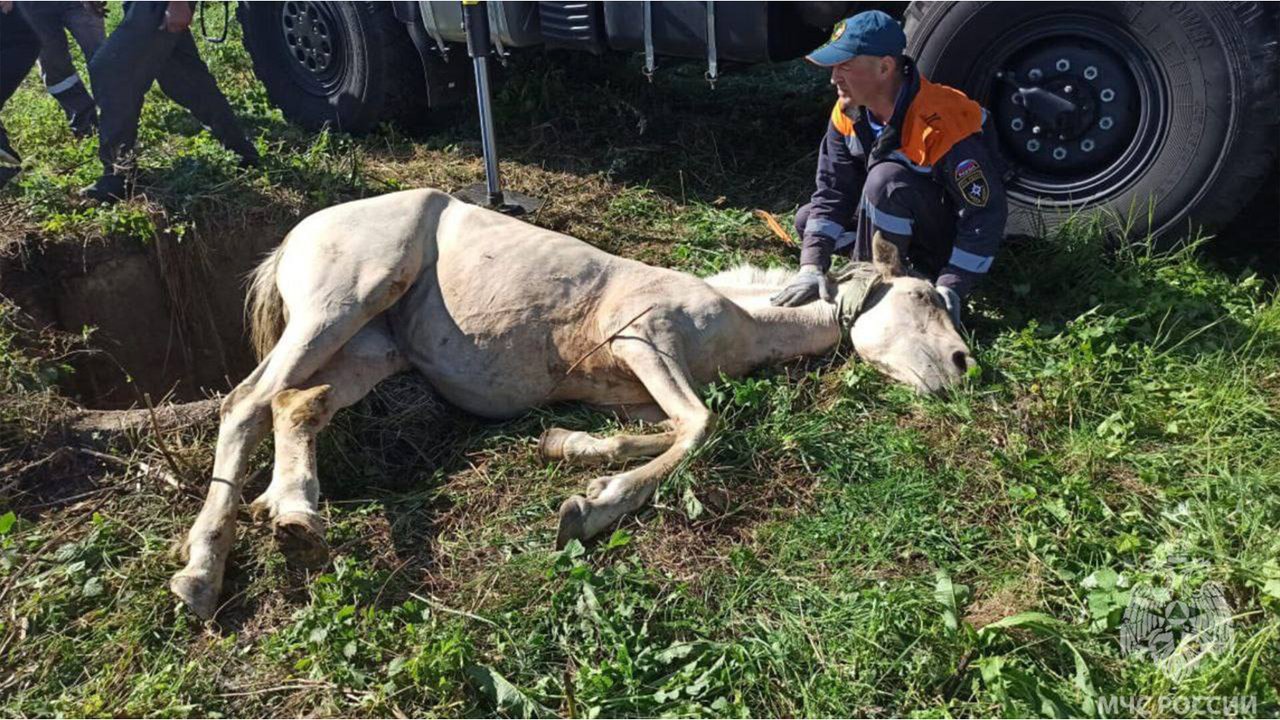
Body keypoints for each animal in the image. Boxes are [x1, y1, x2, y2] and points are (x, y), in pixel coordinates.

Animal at [167, 189, 967, 617]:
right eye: (923, 296)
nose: (963, 369)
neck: (737, 319)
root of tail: (297, 234)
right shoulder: (645, 338)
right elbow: (702, 427)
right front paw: (588, 509)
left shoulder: (640, 395)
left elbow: (664, 433)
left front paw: (571, 452)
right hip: (338, 307)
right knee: (246, 403)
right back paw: (202, 574)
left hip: (370, 350)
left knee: (294, 405)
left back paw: (295, 518)